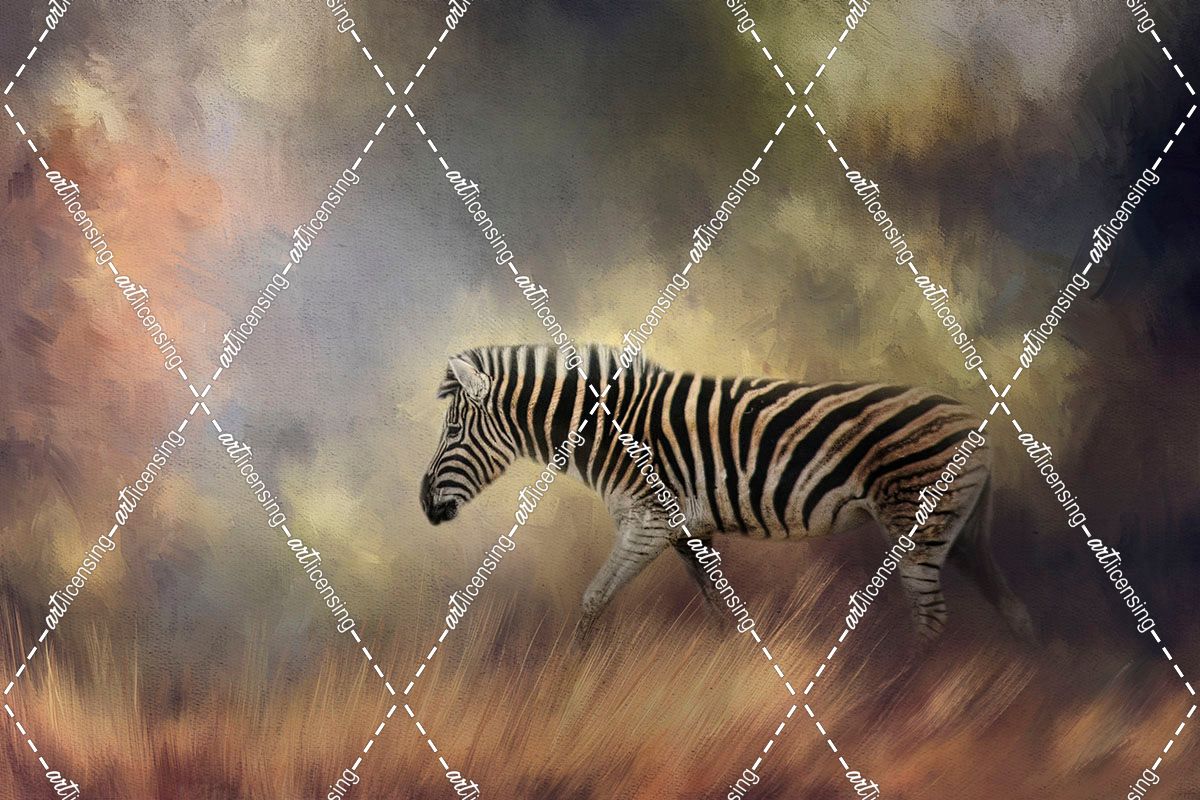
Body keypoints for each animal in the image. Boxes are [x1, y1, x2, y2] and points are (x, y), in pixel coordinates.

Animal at [420, 343, 1033, 643]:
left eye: (452, 430)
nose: (424, 505)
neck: (610, 430)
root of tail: (977, 422)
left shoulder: (647, 525)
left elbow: (593, 599)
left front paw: (574, 679)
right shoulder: (686, 533)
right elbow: (721, 610)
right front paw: (736, 664)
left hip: (918, 520)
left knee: (931, 615)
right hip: (958, 528)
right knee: (1010, 605)